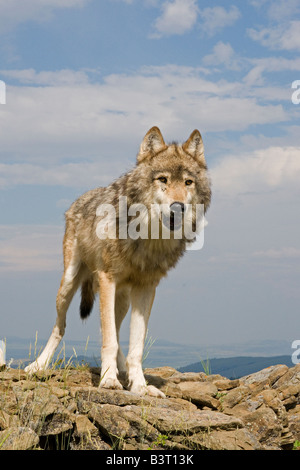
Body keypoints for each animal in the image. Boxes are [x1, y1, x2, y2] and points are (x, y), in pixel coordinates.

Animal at [25, 127, 212, 396]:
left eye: (188, 182)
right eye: (163, 180)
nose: (178, 207)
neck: (149, 236)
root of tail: (82, 197)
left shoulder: (147, 288)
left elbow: (135, 345)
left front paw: (140, 385)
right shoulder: (107, 279)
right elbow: (109, 342)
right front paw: (108, 380)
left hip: (121, 300)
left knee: (114, 330)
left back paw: (123, 370)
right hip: (69, 285)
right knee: (61, 328)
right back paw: (37, 365)